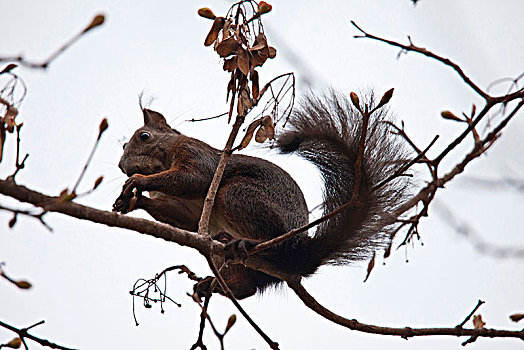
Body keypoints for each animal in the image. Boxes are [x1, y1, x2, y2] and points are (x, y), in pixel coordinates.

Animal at [113, 91, 410, 300]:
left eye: (144, 136)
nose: (123, 167)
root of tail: (301, 254)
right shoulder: (191, 212)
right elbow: (185, 218)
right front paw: (132, 200)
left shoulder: (196, 155)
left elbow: (193, 179)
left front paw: (138, 182)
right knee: (248, 289)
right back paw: (217, 284)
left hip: (238, 195)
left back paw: (247, 244)